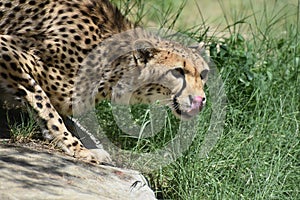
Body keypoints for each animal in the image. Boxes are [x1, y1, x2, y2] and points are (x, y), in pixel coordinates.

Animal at [0, 0, 210, 164]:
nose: (200, 100)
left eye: (203, 74)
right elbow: (46, 106)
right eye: (177, 71)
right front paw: (77, 148)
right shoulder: (7, 49)